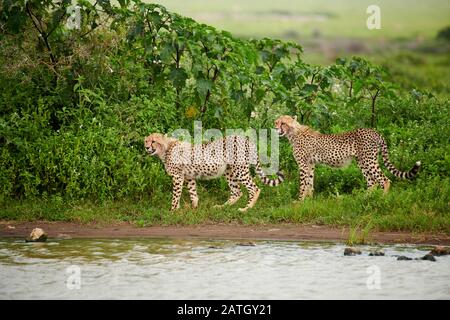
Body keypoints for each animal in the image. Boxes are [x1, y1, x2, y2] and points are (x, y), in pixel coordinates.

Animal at [145, 134, 284, 211]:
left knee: (254, 189)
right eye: (146, 141)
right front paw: (193, 208)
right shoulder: (188, 176)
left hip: (239, 170)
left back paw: (246, 209)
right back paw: (222, 207)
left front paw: (172, 210)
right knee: (237, 192)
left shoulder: (178, 177)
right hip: (229, 171)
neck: (166, 148)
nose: (146, 147)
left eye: (154, 141)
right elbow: (192, 192)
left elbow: (175, 195)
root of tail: (245, 139)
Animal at [274, 115, 422, 200]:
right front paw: (308, 201)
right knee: (372, 182)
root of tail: (374, 131)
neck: (293, 132)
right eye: (276, 122)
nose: (275, 129)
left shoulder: (303, 165)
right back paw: (364, 199)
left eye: (283, 123)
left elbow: (303, 184)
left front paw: (299, 201)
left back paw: (382, 199)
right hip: (362, 162)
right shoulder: (310, 164)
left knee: (384, 180)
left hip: (369, 160)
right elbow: (309, 183)